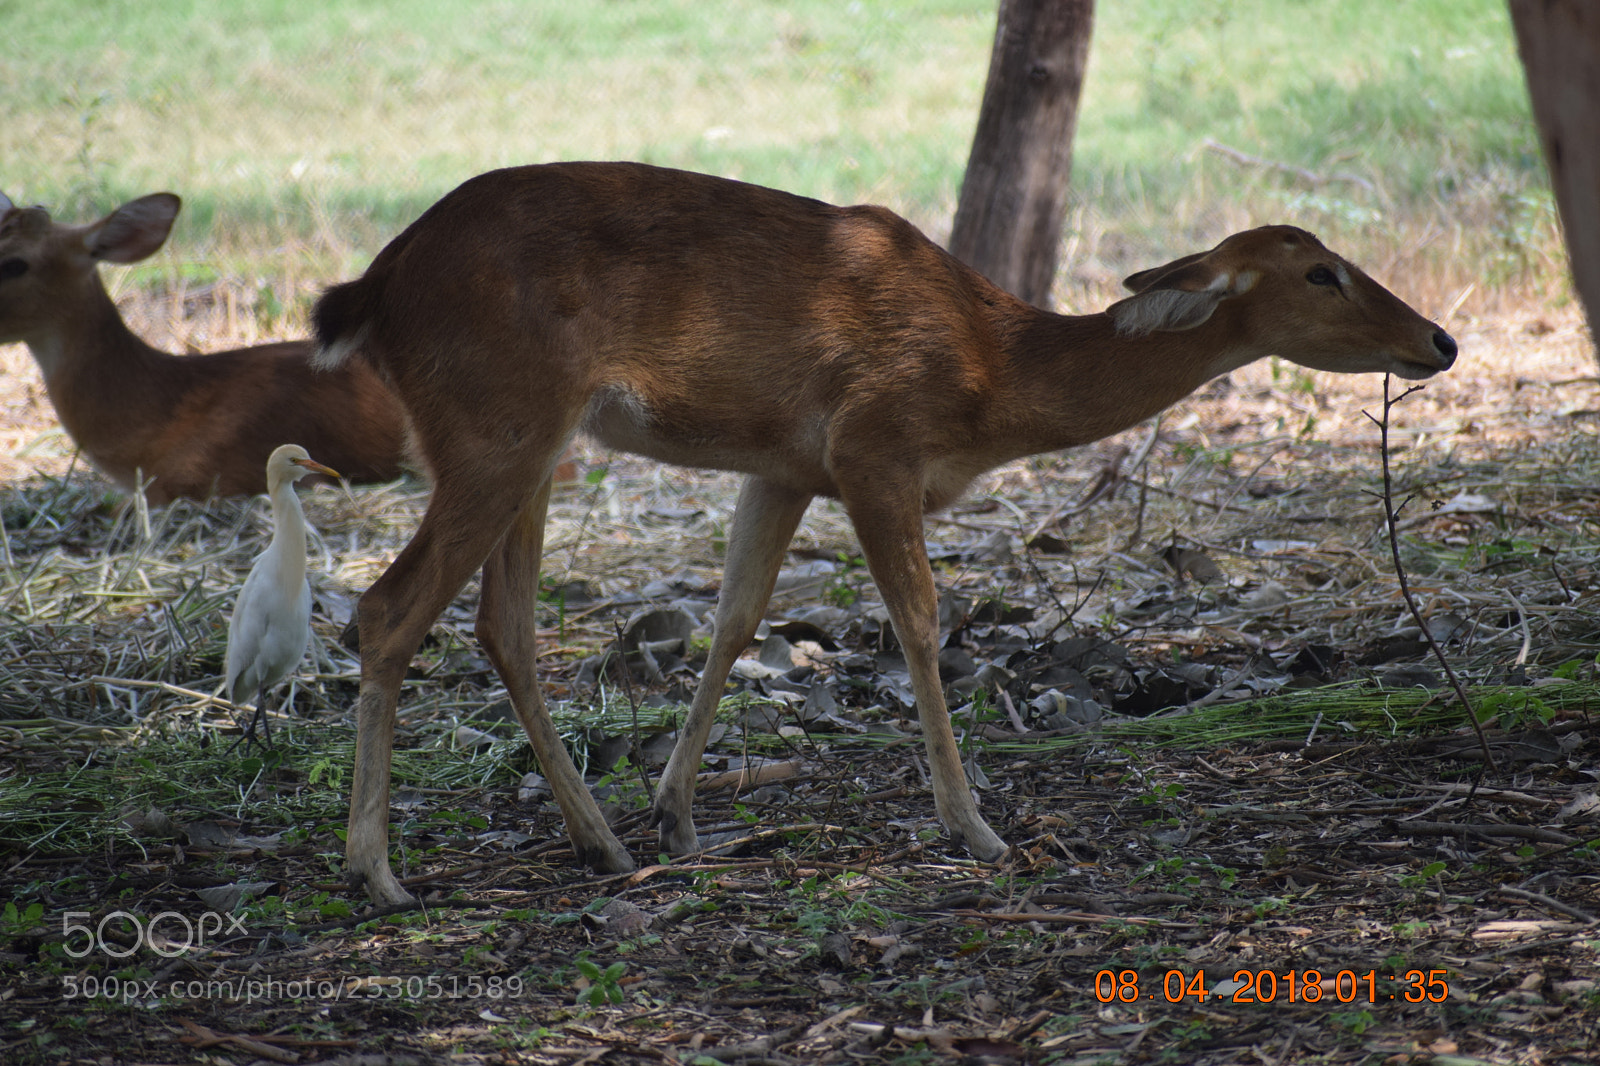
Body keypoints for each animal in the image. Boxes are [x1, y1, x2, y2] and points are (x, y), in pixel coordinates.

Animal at [312, 161, 1457, 908]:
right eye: (1320, 272)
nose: (1440, 340)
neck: (994, 373)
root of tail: (374, 287)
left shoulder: (783, 464)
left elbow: (733, 621)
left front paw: (676, 813)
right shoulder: (874, 445)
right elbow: (917, 620)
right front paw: (974, 825)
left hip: (534, 442)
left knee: (500, 625)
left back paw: (600, 844)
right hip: (495, 422)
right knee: (386, 606)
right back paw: (378, 871)